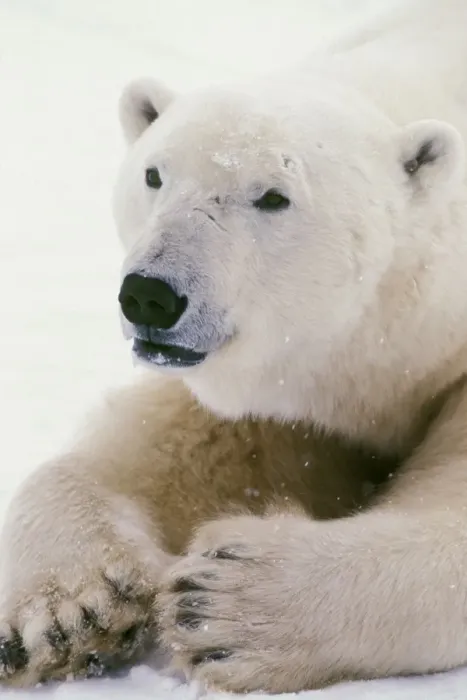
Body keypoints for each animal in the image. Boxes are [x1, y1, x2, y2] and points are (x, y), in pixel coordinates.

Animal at [1, 0, 467, 692]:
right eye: (154, 173)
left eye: (273, 196)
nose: (150, 295)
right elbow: (182, 445)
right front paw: (65, 609)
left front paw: (224, 601)